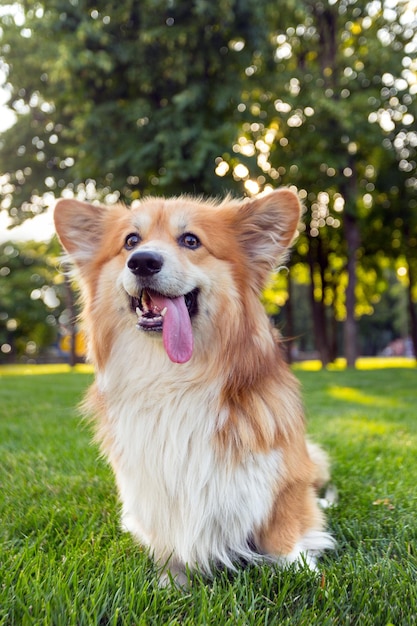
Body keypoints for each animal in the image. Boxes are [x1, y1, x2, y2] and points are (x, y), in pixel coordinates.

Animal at [55, 188, 334, 584]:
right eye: (130, 241)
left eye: (190, 240)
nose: (142, 262)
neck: (174, 377)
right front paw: (172, 579)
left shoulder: (283, 476)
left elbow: (284, 527)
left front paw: (301, 568)